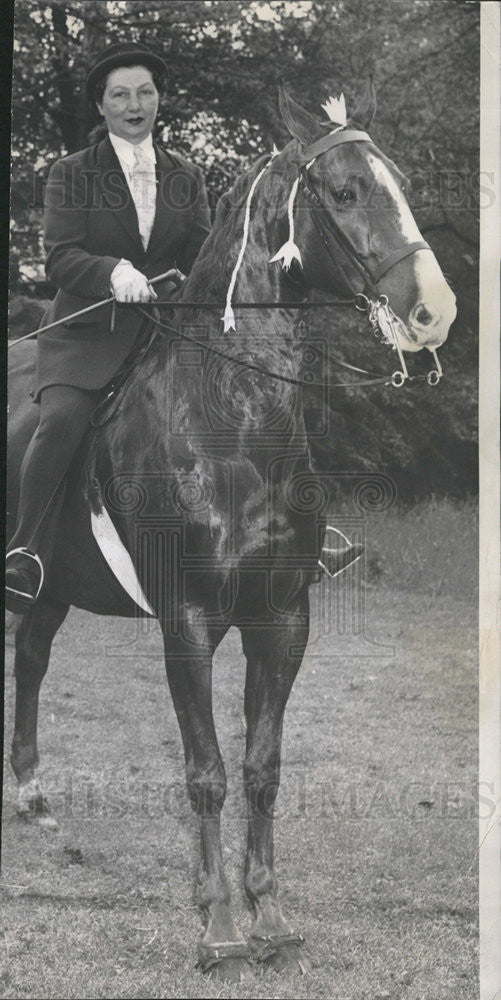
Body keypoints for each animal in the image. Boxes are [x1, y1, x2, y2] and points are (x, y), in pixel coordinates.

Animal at [5, 82, 456, 980]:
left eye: (401, 187)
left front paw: (268, 915)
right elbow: (207, 771)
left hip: (56, 584)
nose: (435, 313)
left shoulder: (282, 619)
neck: (233, 420)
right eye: (344, 192)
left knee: (32, 654)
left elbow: (262, 768)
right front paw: (217, 926)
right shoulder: (187, 623)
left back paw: (32, 796)